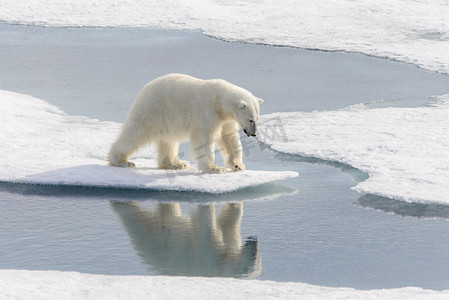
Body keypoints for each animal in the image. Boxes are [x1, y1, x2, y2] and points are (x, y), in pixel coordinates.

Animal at [107, 73, 262, 173]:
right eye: (250, 119)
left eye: (257, 119)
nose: (254, 133)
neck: (220, 101)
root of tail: (145, 89)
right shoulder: (206, 111)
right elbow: (204, 138)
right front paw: (214, 168)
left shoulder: (226, 119)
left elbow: (229, 137)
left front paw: (237, 165)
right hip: (153, 109)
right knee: (136, 133)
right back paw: (122, 161)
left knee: (168, 141)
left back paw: (176, 164)